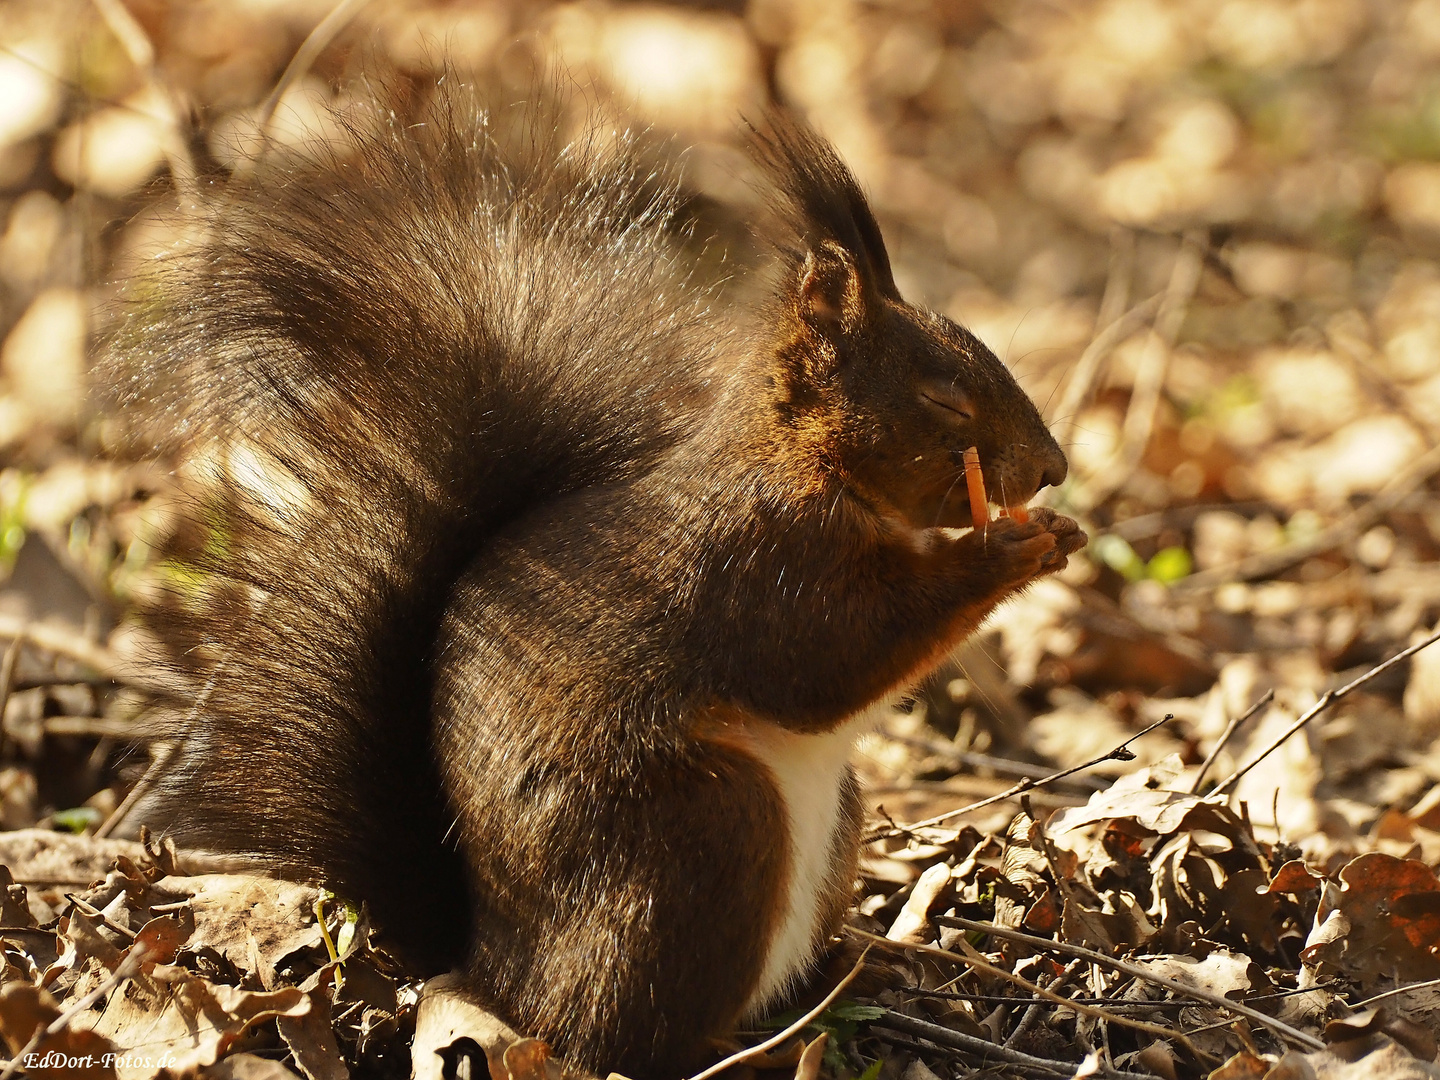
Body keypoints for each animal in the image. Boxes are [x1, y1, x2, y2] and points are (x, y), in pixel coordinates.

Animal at [112, 84, 1082, 1080]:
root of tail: (495, 967)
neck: (804, 462)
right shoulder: (754, 563)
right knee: (632, 1034)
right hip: (702, 834)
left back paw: (854, 969)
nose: (1052, 470)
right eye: (944, 399)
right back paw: (746, 1044)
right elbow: (830, 660)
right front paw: (1011, 552)